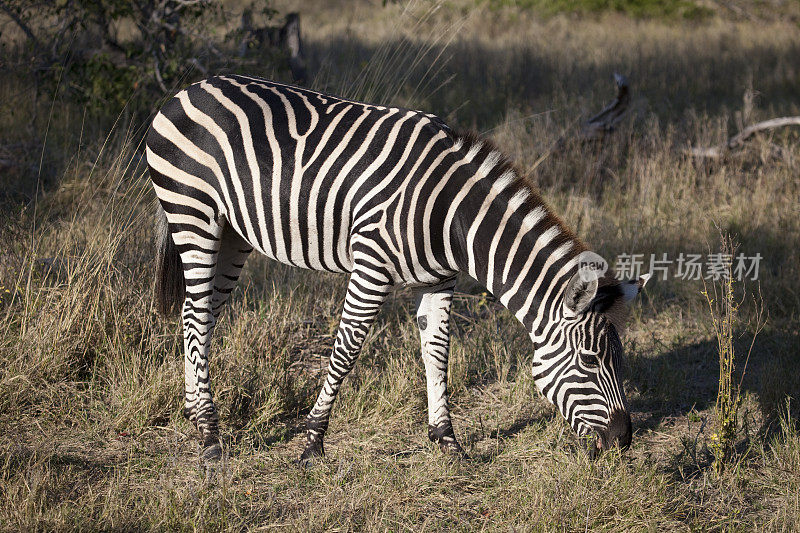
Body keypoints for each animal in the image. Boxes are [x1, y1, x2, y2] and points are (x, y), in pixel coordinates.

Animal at [145, 74, 648, 462]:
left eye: (619, 359)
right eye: (589, 361)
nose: (624, 441)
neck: (452, 215)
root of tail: (186, 90)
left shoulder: (440, 278)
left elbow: (437, 351)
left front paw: (447, 442)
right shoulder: (371, 266)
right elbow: (346, 351)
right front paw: (313, 443)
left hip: (232, 235)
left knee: (197, 314)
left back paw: (195, 415)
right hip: (194, 218)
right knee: (195, 316)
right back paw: (210, 438)